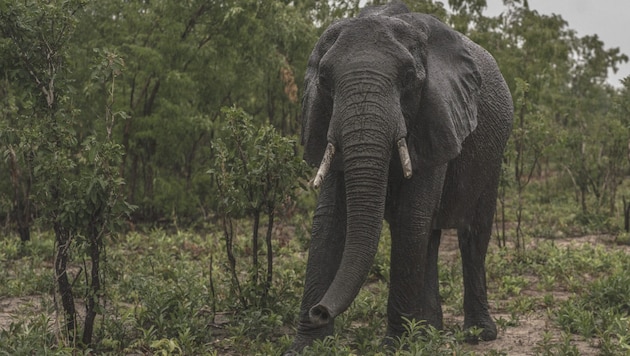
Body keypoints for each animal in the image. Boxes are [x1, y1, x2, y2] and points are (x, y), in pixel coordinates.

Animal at [288, 0, 516, 354]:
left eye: (409, 78)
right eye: (324, 79)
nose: (320, 310)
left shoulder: (436, 114)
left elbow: (410, 217)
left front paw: (395, 346)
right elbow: (329, 219)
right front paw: (306, 346)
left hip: (494, 152)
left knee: (472, 233)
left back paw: (477, 334)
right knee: (431, 236)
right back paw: (430, 331)